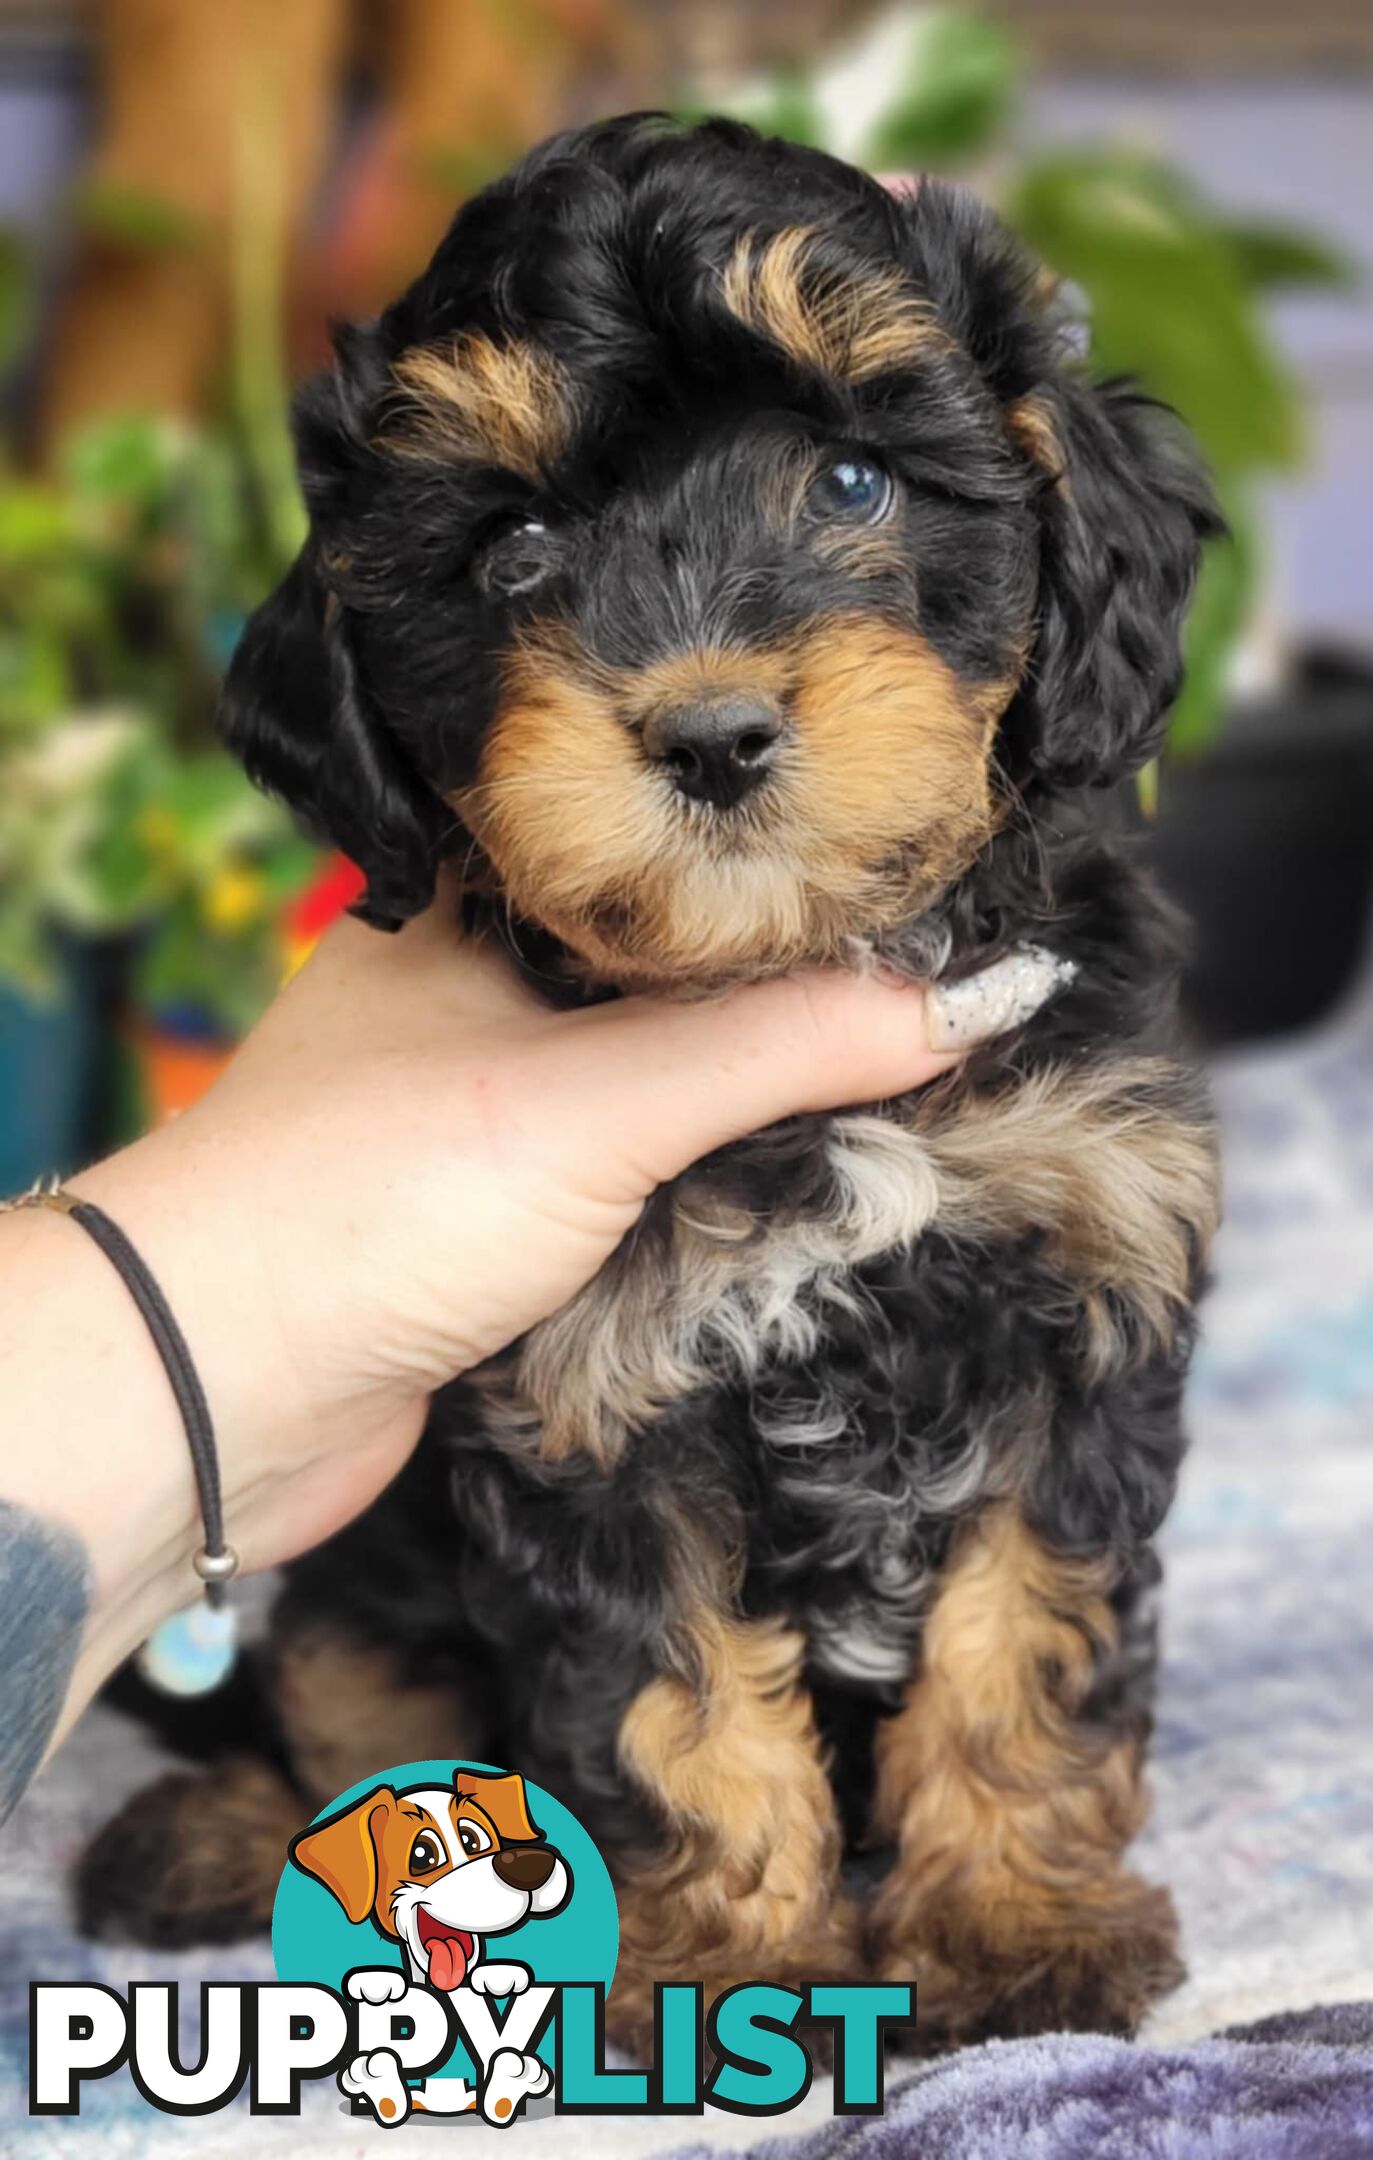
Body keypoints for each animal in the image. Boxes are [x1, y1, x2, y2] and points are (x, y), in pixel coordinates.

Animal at [83, 113, 1226, 2039]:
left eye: (852, 480)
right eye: (517, 545)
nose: (710, 733)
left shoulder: (1086, 1285)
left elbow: (1024, 1639)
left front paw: (1010, 1924)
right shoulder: (585, 1392)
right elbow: (667, 1701)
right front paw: (728, 1970)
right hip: (365, 1581)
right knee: (338, 1707)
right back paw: (218, 1835)